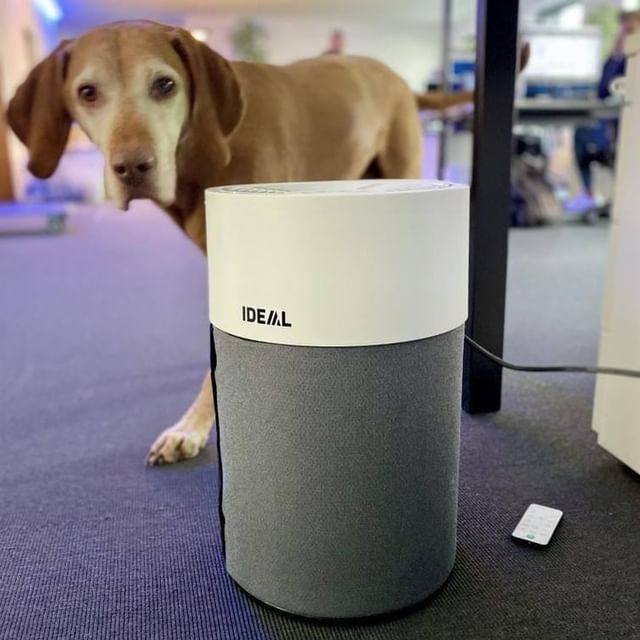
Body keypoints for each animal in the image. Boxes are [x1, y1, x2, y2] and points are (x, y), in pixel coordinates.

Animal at [8, 20, 426, 465]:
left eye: (165, 85)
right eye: (87, 92)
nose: (133, 167)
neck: (201, 154)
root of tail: (394, 76)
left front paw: (191, 427)